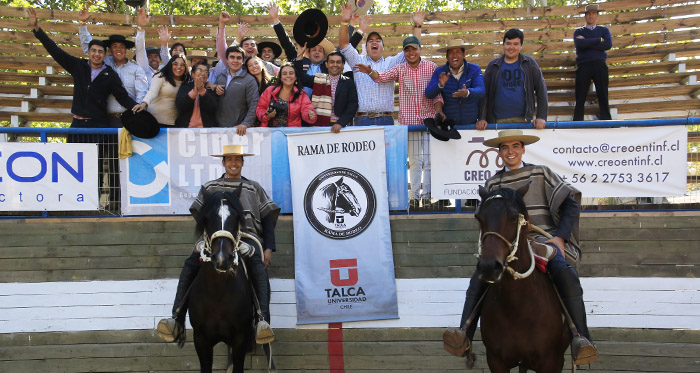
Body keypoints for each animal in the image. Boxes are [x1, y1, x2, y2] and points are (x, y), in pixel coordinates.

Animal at [189, 190, 258, 370]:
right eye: (207, 218)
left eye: (236, 218)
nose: (222, 259)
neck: (217, 293)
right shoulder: (201, 339)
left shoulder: (240, 339)